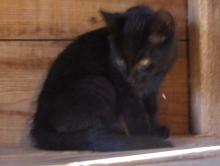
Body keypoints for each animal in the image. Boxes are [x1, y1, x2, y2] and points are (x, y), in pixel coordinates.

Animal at [31, 5, 178, 152]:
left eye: (144, 62)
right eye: (120, 60)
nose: (128, 77)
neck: (150, 78)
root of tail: (39, 125)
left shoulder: (153, 88)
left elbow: (152, 108)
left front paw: (156, 128)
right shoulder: (124, 89)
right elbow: (136, 114)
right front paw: (147, 135)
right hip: (98, 82)